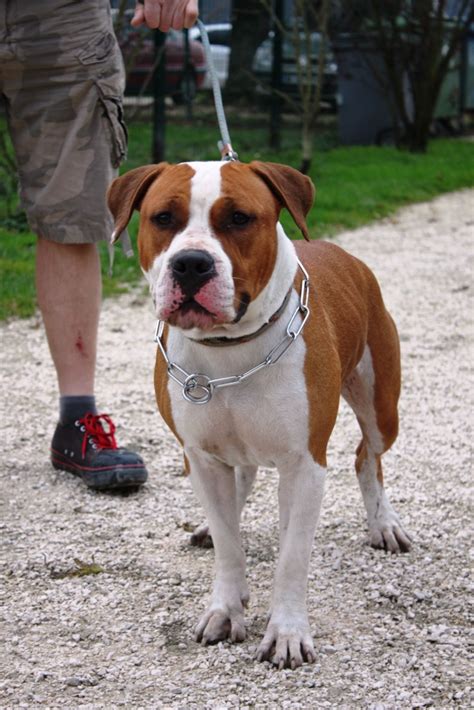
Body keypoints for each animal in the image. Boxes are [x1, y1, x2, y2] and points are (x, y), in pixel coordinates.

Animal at [107, 160, 412, 668]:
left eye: (239, 218)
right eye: (163, 218)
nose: (191, 263)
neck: (231, 350)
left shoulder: (305, 464)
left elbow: (292, 557)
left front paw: (287, 633)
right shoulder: (201, 456)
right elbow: (229, 544)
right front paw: (225, 609)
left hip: (381, 406)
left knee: (367, 456)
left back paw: (384, 524)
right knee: (244, 480)